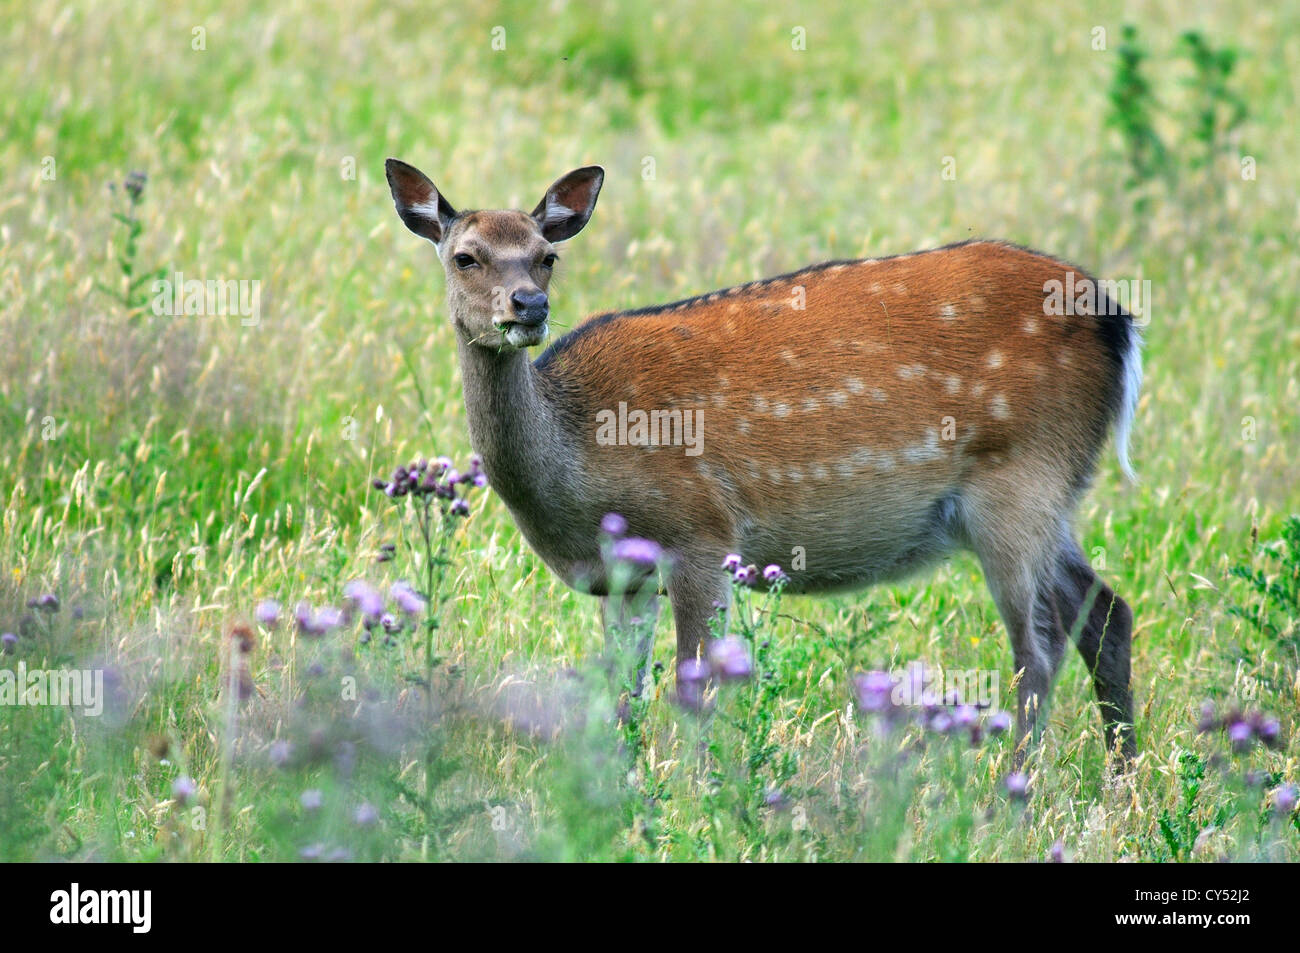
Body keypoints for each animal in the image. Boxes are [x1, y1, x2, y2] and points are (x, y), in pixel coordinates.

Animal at [382, 159, 1138, 764]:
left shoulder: (699, 532)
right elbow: (620, 693)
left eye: (547, 256)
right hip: (1052, 489)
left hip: (1019, 474)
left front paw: (696, 798)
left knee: (1039, 646)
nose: (529, 306)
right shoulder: (621, 576)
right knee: (1106, 609)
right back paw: (1120, 775)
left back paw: (1013, 793)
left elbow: (692, 690)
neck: (575, 472)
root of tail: (1117, 319)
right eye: (466, 256)